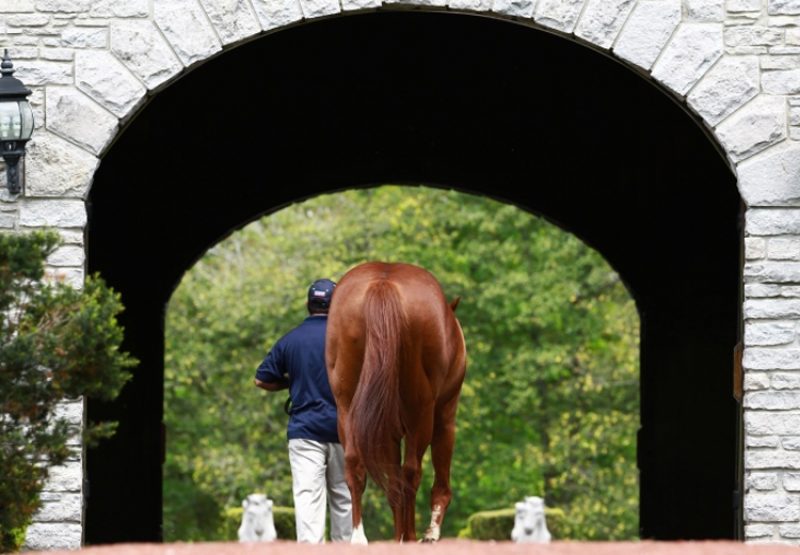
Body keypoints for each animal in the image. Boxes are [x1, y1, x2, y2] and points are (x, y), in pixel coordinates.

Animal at [324, 264, 466, 544]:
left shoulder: (386, 430)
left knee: (356, 465)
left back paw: (359, 537)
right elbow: (437, 481)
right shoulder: (444, 419)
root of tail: (383, 283)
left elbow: (392, 483)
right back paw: (410, 536)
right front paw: (429, 533)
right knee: (412, 471)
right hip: (420, 414)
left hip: (348, 411)